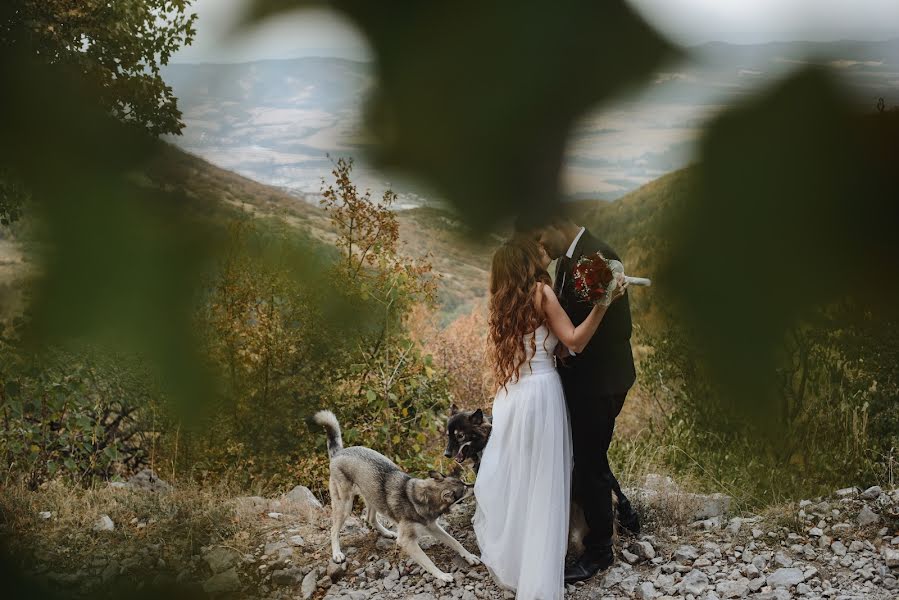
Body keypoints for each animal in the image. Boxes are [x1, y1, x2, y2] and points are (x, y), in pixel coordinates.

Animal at [312, 410, 482, 584]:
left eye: (464, 483)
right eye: (465, 488)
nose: (475, 485)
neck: (420, 499)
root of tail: (338, 453)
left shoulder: (433, 527)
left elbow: (455, 542)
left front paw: (469, 556)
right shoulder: (407, 541)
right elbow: (428, 561)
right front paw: (441, 575)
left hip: (373, 497)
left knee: (370, 519)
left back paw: (387, 533)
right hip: (345, 505)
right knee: (334, 529)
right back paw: (337, 554)